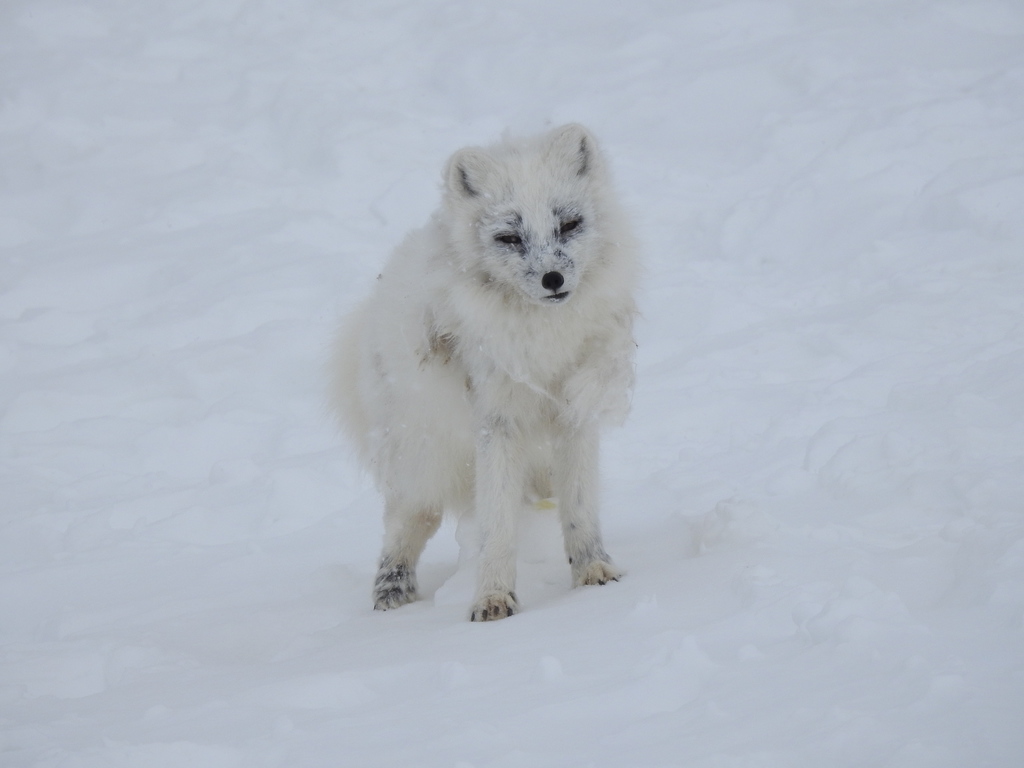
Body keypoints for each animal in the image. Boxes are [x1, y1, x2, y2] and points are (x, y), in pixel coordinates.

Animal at [330, 124, 638, 621]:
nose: (553, 279)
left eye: (569, 224)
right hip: (421, 457)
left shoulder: (575, 416)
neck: (544, 341)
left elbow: (580, 506)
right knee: (406, 519)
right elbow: (497, 523)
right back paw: (392, 592)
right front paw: (492, 598)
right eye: (509, 237)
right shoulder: (497, 423)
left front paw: (594, 571)